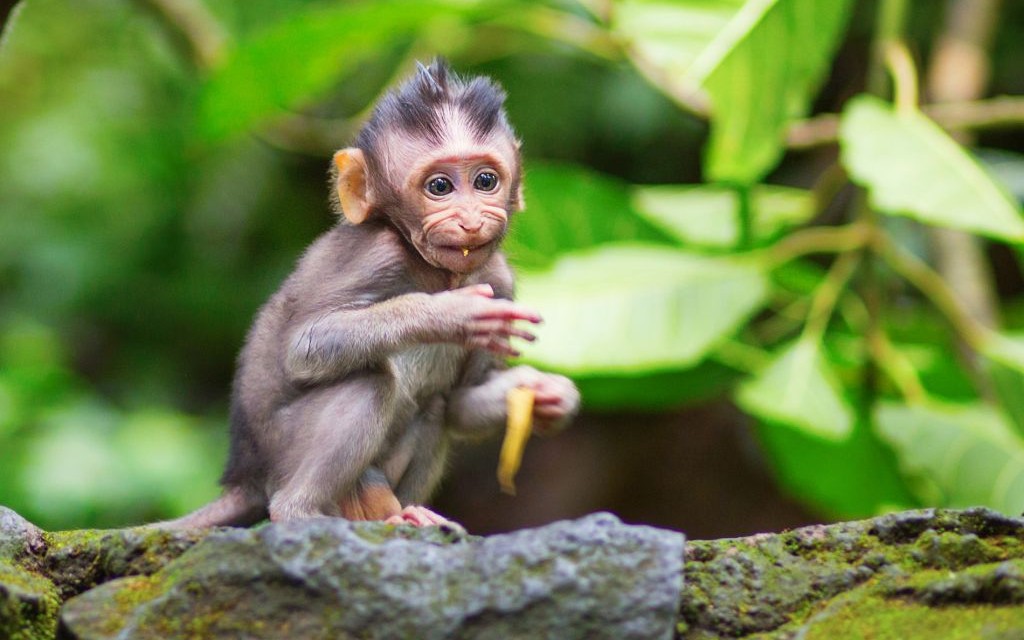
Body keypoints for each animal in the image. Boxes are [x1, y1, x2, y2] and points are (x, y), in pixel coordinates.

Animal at [168, 58, 585, 528]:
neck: (434, 272)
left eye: (485, 180)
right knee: (368, 381)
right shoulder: (374, 253)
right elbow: (304, 346)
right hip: (284, 449)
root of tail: (246, 476)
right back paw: (301, 512)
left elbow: (461, 403)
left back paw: (409, 514)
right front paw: (447, 316)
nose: (471, 220)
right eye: (439, 187)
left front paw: (552, 396)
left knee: (434, 408)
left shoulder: (500, 281)